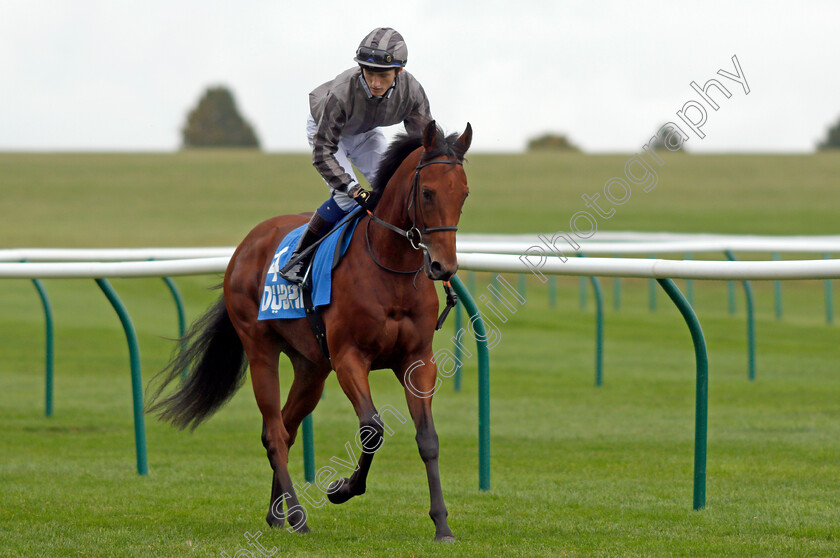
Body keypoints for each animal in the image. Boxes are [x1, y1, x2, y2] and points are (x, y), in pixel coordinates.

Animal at [147, 121, 470, 544]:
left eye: (464, 193)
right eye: (428, 192)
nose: (443, 267)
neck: (390, 269)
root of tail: (247, 244)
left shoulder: (417, 360)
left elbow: (428, 439)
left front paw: (442, 524)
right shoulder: (350, 357)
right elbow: (372, 428)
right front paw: (342, 489)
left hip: (311, 368)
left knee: (285, 428)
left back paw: (277, 515)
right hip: (261, 351)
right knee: (274, 432)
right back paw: (298, 517)